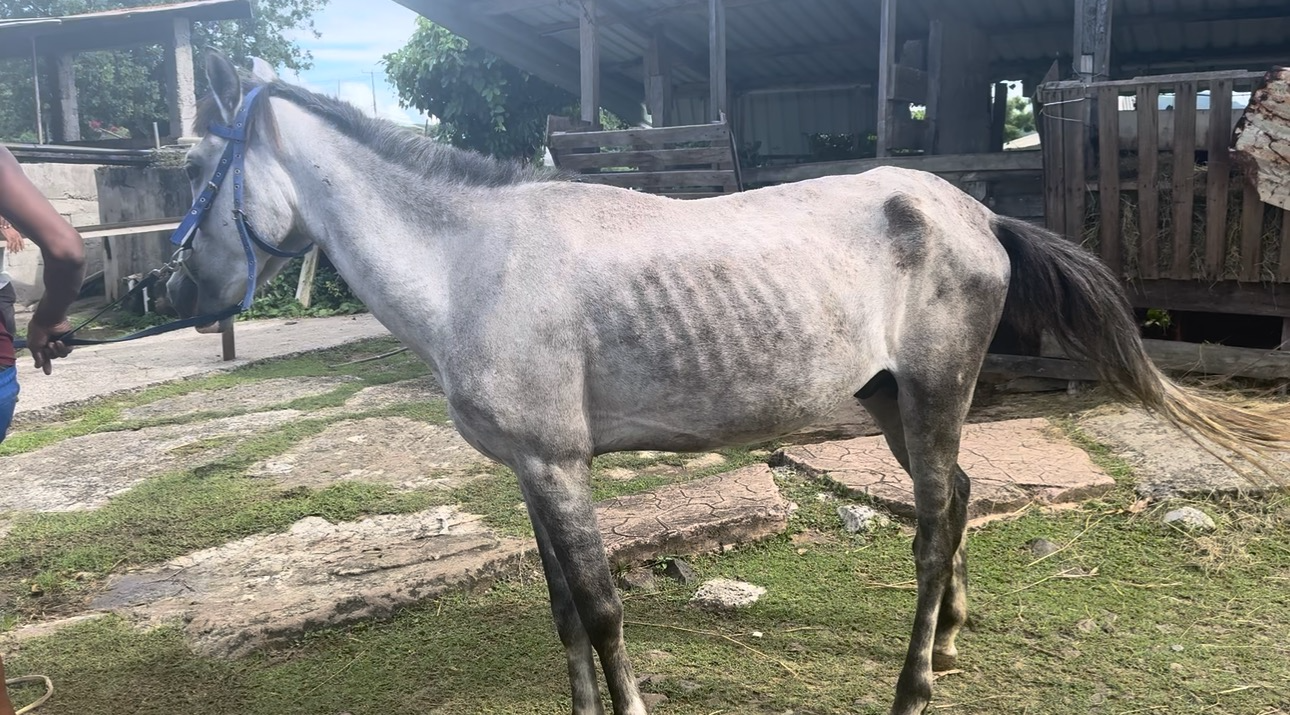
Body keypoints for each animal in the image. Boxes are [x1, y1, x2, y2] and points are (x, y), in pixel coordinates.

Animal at [166, 50, 1290, 715]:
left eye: (190, 171)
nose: (179, 289)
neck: (473, 260)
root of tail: (975, 213)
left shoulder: (563, 467)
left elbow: (602, 607)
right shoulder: (533, 470)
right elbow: (561, 605)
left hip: (931, 400)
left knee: (931, 532)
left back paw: (914, 684)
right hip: (895, 405)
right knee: (964, 501)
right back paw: (950, 644)